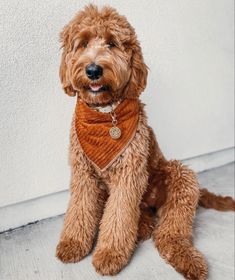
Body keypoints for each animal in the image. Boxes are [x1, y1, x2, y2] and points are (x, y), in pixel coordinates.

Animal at [55, 4, 235, 280]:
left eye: (111, 43)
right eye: (83, 44)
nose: (93, 70)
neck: (106, 113)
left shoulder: (129, 175)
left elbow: (119, 217)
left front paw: (110, 254)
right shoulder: (83, 173)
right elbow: (79, 209)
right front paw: (73, 244)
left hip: (178, 177)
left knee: (170, 233)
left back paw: (187, 258)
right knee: (144, 218)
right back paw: (143, 227)